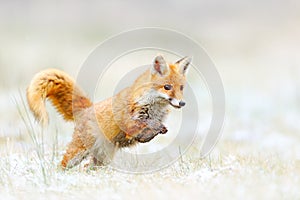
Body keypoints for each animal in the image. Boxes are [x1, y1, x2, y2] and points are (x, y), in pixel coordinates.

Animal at [27, 55, 191, 169]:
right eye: (167, 87)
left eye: (181, 88)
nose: (182, 103)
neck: (154, 107)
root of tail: (86, 109)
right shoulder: (130, 122)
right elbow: (145, 124)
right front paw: (155, 126)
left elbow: (149, 132)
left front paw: (157, 129)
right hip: (78, 153)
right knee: (62, 165)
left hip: (102, 158)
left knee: (87, 168)